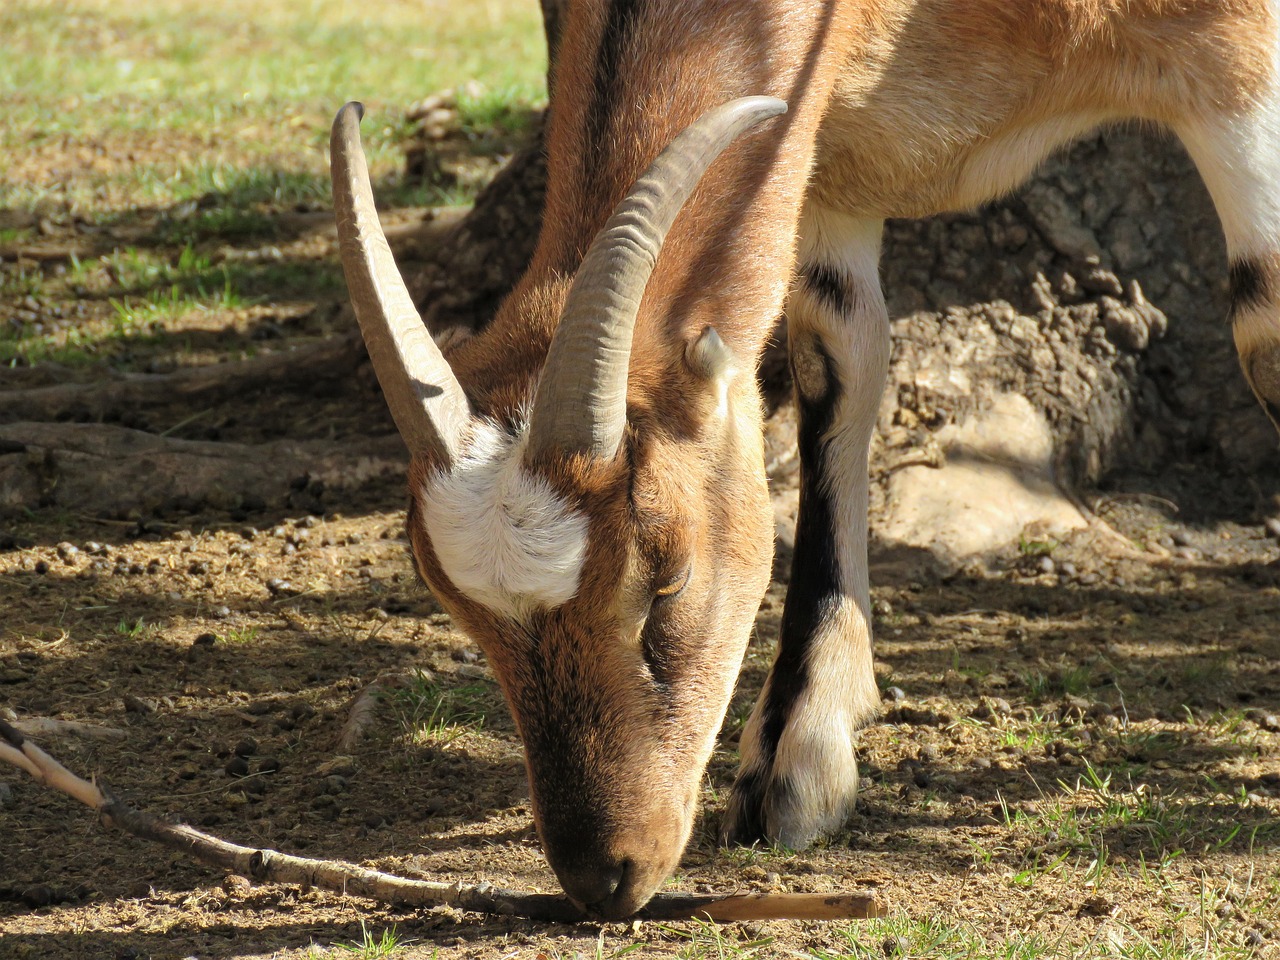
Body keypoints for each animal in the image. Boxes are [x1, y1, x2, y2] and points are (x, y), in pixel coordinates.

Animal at [335, 0, 1280, 921]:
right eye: (460, 613)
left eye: (665, 579)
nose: (603, 874)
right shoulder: (822, 161)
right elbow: (835, 364)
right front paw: (799, 754)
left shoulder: (1239, 62)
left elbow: (1265, 329)